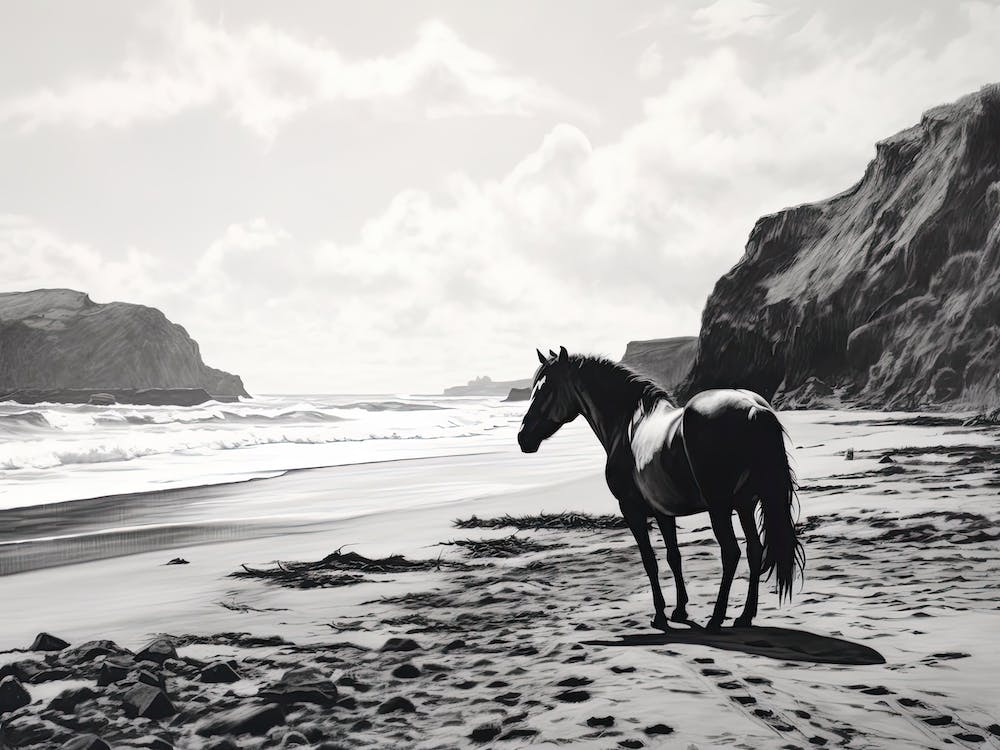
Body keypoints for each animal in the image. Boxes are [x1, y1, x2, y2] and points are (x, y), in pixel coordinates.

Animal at [517, 347, 804, 632]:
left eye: (546, 389)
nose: (522, 437)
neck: (629, 424)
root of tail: (754, 408)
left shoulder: (631, 510)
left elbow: (649, 561)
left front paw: (660, 615)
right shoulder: (664, 512)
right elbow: (673, 557)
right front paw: (679, 610)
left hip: (720, 507)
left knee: (731, 552)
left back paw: (716, 617)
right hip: (746, 503)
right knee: (754, 551)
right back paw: (744, 616)